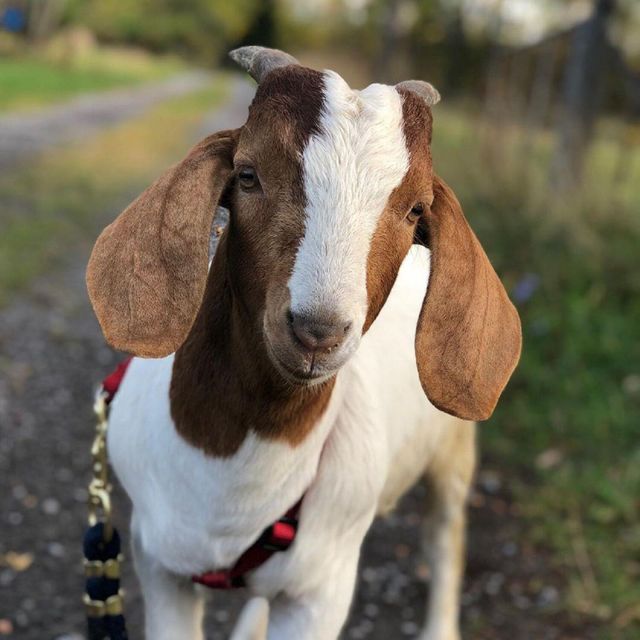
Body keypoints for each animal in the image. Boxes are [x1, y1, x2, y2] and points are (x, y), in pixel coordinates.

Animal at [86, 46, 522, 640]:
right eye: (248, 175)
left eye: (415, 210)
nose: (318, 331)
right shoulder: (158, 563)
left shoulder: (321, 591)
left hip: (452, 452)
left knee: (444, 535)